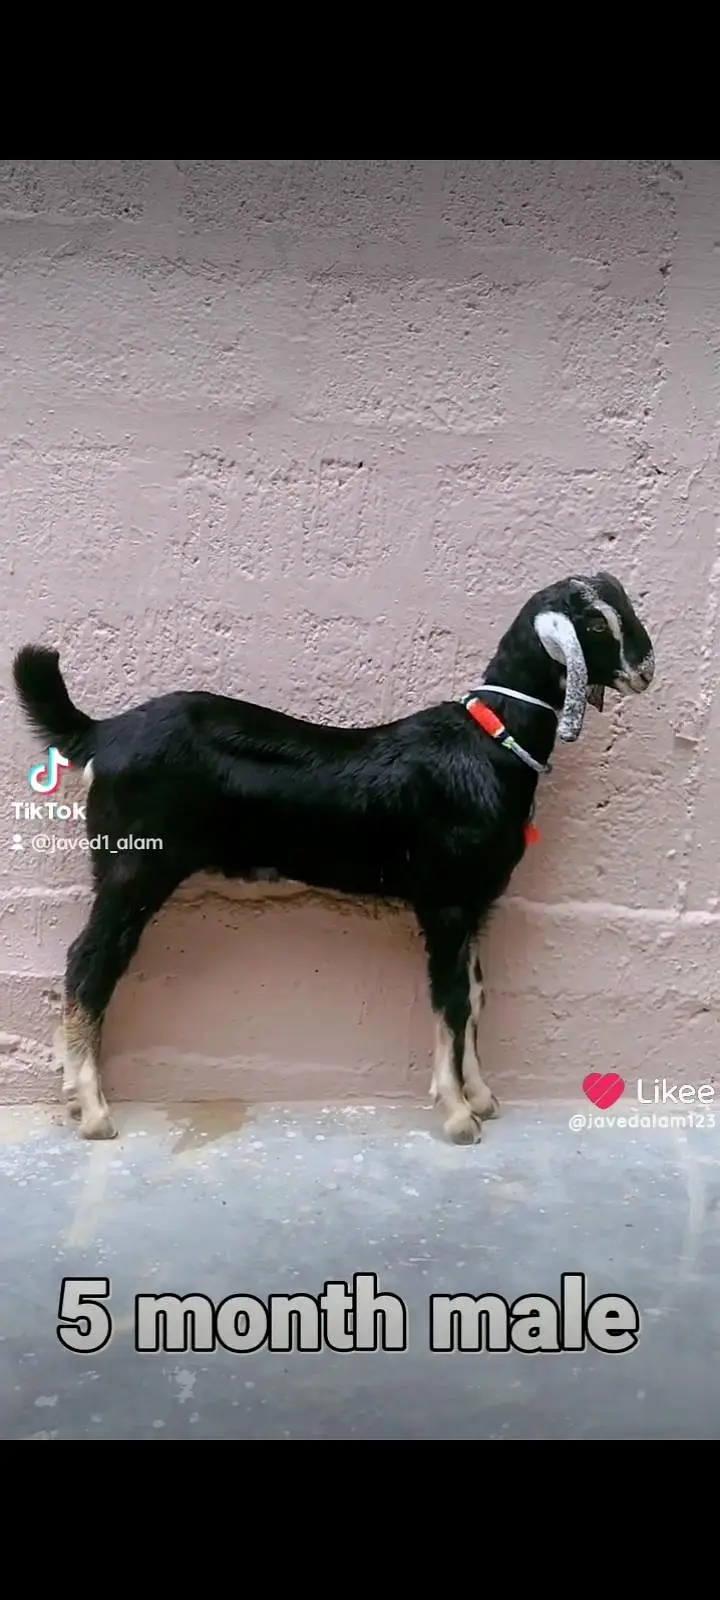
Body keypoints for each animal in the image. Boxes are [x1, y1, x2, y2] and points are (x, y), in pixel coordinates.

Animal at [12, 570, 655, 1145]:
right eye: (595, 622)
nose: (645, 669)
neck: (489, 741)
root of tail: (104, 735)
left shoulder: (476, 905)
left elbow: (473, 997)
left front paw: (480, 1096)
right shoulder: (444, 902)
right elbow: (448, 1002)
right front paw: (457, 1115)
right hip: (134, 868)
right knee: (90, 964)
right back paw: (93, 1109)